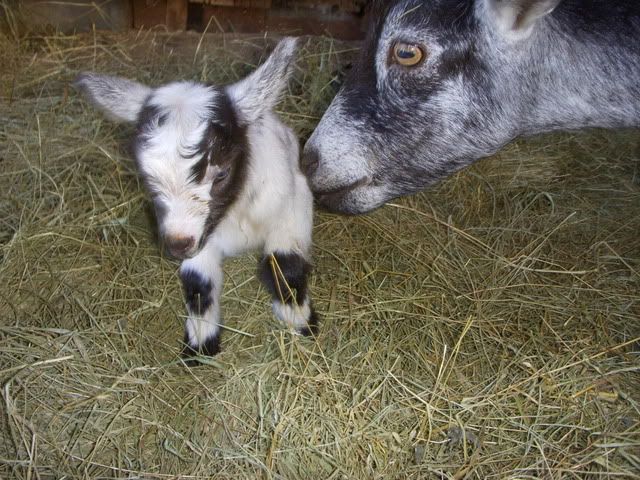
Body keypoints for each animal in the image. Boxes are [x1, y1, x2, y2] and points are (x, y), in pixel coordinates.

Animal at [74, 38, 317, 359]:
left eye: (222, 173)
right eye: (147, 177)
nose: (178, 244)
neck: (235, 216)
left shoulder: (293, 205)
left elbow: (284, 263)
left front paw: (300, 321)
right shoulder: (202, 239)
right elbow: (198, 283)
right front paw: (201, 342)